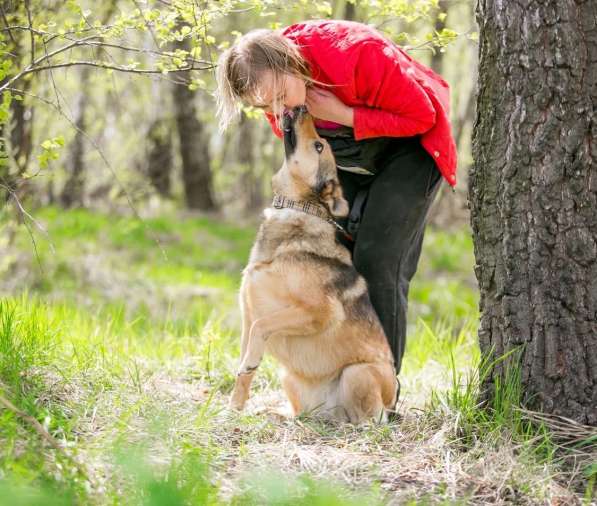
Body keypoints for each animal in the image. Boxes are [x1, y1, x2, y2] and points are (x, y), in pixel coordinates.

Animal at [230, 105, 398, 422]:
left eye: (320, 146)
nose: (301, 107)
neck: (296, 210)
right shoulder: (246, 314)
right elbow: (242, 370)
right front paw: (233, 408)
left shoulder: (318, 312)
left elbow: (261, 327)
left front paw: (251, 363)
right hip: (288, 378)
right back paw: (285, 415)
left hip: (357, 374)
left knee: (372, 419)